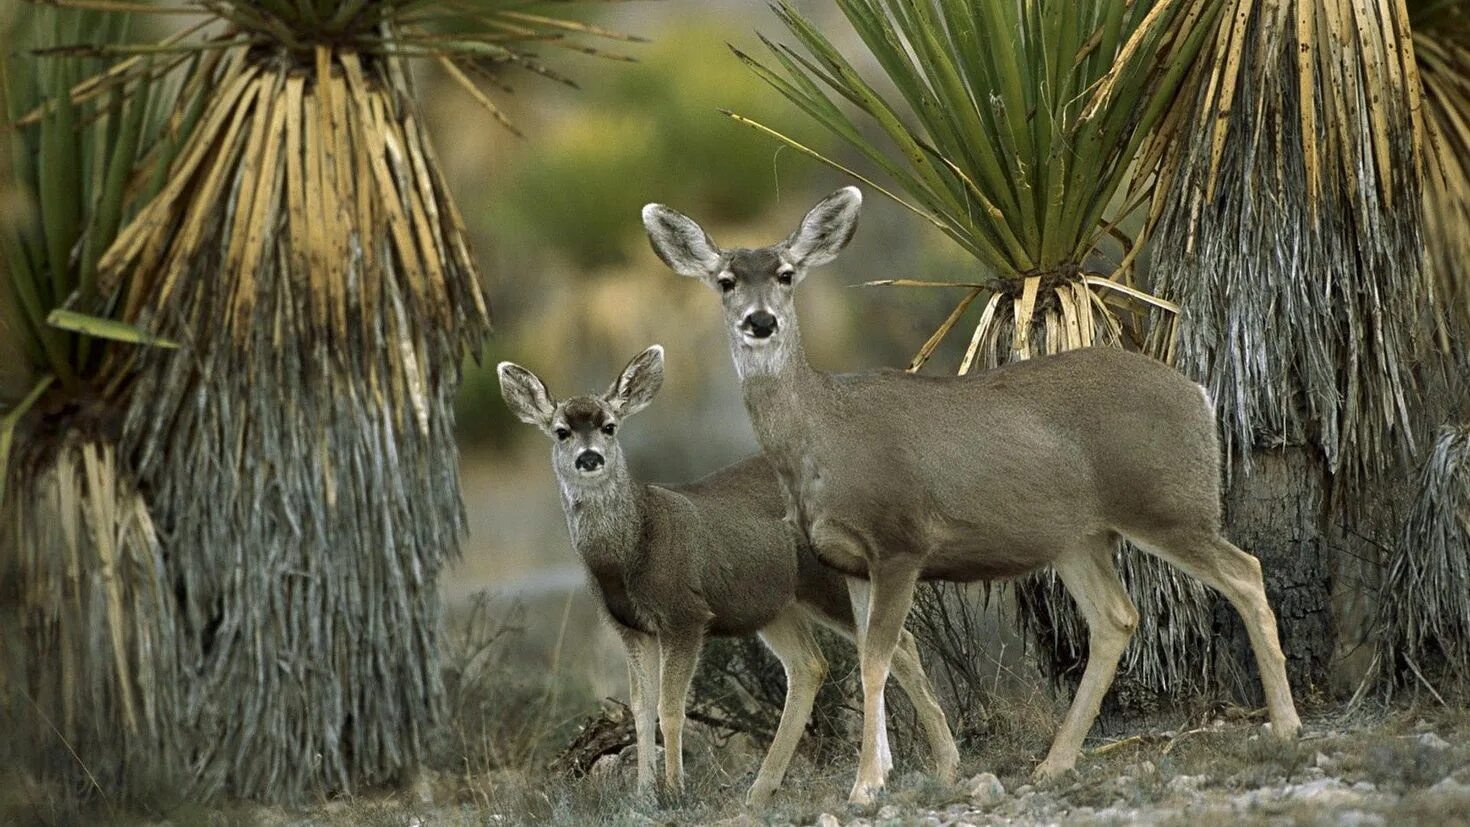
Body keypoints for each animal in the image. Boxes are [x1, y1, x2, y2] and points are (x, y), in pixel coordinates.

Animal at [499, 346, 958, 804]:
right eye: (561, 431)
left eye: (610, 426)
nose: (589, 458)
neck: (631, 548)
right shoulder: (629, 628)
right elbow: (640, 708)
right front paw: (643, 793)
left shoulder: (685, 614)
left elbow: (670, 708)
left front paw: (674, 790)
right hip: (775, 605)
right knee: (811, 664)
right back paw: (764, 788)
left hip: (828, 582)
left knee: (898, 643)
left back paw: (942, 764)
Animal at [640, 185, 1299, 804]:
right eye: (726, 281)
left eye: (785, 273)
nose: (760, 321)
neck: (824, 436)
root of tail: (1199, 394)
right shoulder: (849, 561)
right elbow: (883, 655)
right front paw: (886, 773)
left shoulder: (901, 540)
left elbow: (877, 657)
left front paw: (865, 785)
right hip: (1079, 537)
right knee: (1117, 618)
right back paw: (1054, 763)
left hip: (1166, 503)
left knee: (1245, 572)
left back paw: (1286, 726)